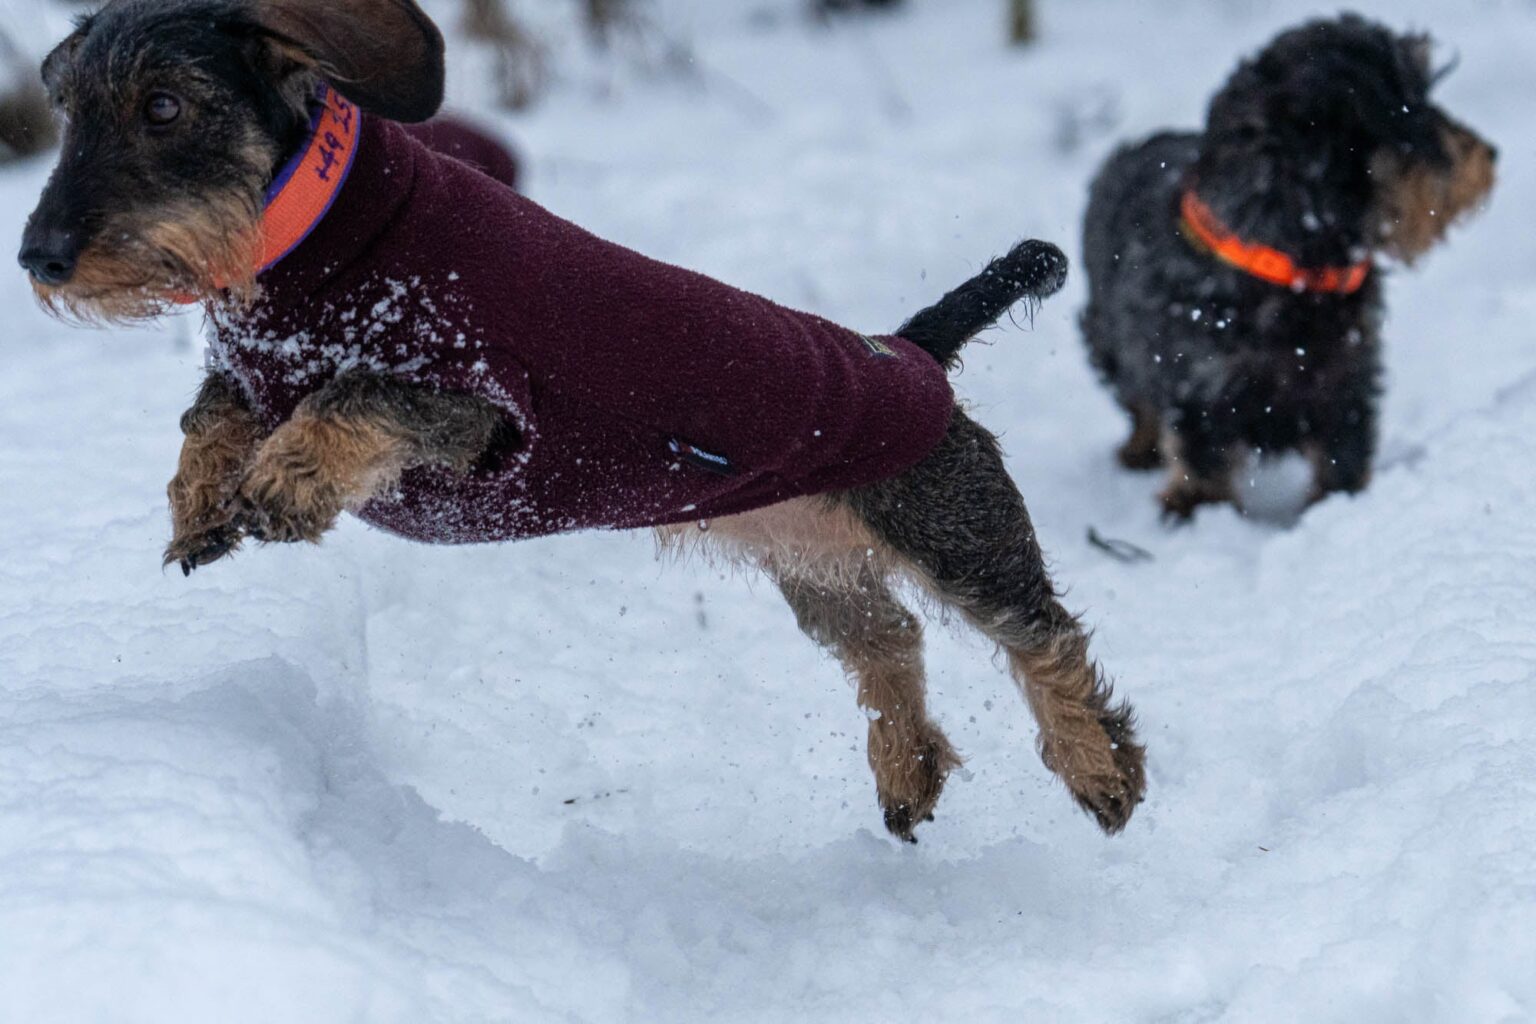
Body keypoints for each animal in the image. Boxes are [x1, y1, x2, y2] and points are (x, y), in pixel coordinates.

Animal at [19, 0, 1145, 843]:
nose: (38, 257)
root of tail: (908, 351)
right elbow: (209, 412)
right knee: (890, 641)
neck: (306, 243)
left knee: (1044, 635)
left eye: (164, 106)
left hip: (958, 533)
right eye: (66, 108)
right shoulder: (251, 374)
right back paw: (907, 772)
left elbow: (355, 396)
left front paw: (285, 482)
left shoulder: (478, 408)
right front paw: (203, 506)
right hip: (817, 565)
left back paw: (1100, 769)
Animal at [1081, 15, 1495, 520]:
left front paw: (1341, 502)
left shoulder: (1349, 377)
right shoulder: (1198, 382)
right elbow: (1202, 455)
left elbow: (1343, 451)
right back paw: (1140, 448)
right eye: (1410, 106)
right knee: (1137, 400)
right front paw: (1196, 506)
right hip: (1104, 336)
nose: (1489, 154)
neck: (1287, 265)